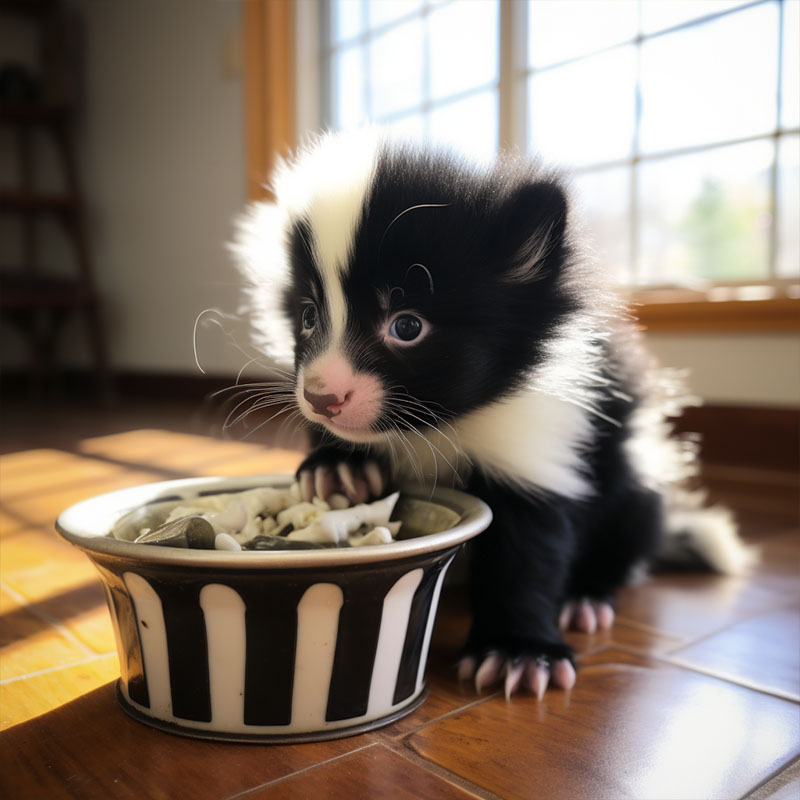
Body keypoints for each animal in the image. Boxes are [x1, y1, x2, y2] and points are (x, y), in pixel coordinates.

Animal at [228, 128, 752, 696]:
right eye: (307, 316)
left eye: (407, 325)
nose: (323, 397)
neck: (436, 423)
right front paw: (338, 468)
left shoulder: (539, 430)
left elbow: (529, 542)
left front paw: (518, 651)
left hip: (632, 482)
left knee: (627, 532)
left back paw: (587, 597)